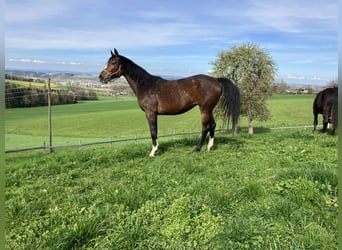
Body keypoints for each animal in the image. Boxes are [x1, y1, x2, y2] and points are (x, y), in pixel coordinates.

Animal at [98, 48, 240, 156]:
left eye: (114, 62)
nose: (101, 76)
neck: (146, 85)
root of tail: (216, 80)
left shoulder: (150, 113)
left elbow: (153, 131)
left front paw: (153, 152)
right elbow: (155, 131)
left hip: (204, 109)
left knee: (205, 127)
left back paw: (197, 149)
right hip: (208, 109)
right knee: (213, 125)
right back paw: (209, 147)